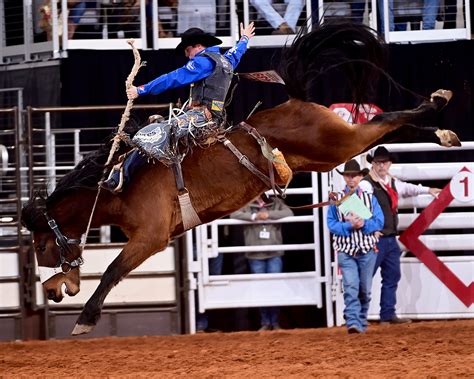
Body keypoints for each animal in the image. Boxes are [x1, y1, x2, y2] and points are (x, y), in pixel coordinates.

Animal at [21, 22, 460, 336]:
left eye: (41, 247)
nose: (56, 291)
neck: (115, 187)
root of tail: (295, 100)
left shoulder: (151, 237)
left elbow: (112, 269)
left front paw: (85, 318)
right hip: (331, 151)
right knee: (385, 128)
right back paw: (442, 126)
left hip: (336, 144)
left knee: (385, 122)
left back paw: (438, 106)